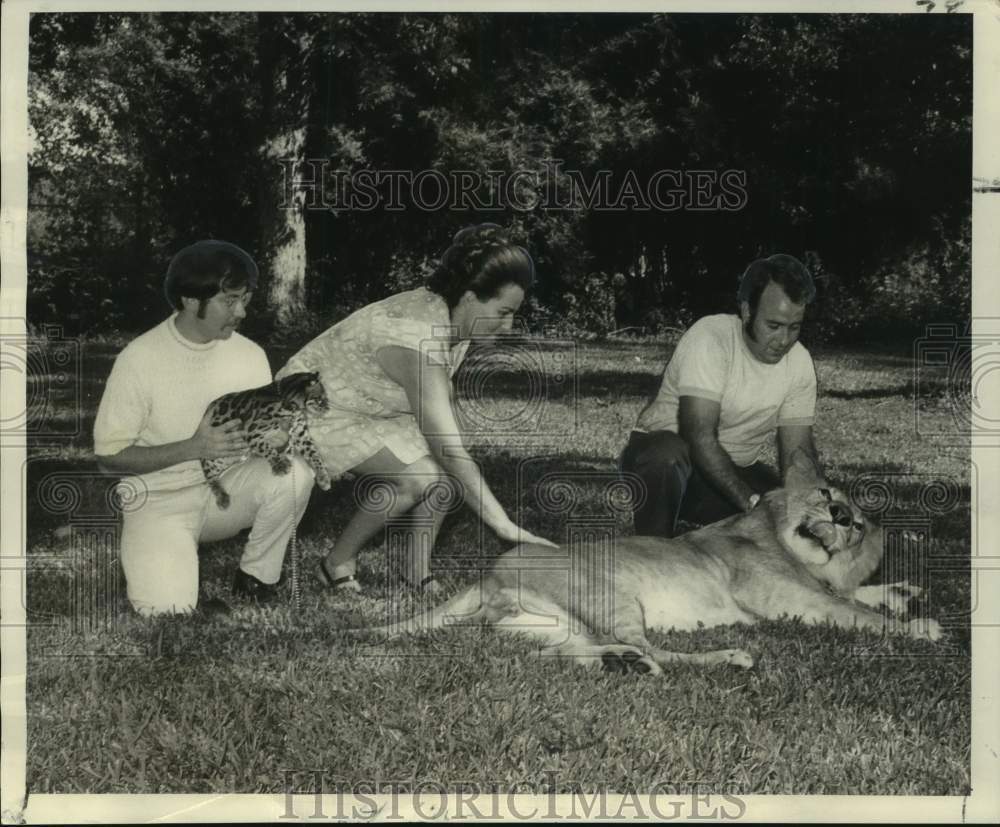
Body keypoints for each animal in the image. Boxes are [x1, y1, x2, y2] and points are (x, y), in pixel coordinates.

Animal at [360, 482, 936, 676]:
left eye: (857, 523)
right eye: (826, 494)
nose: (842, 517)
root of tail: (488, 573)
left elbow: (856, 594)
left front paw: (903, 593)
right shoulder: (789, 598)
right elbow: (851, 610)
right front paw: (919, 628)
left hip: (555, 625)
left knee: (549, 655)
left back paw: (618, 663)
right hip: (611, 594)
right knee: (656, 651)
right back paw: (723, 657)